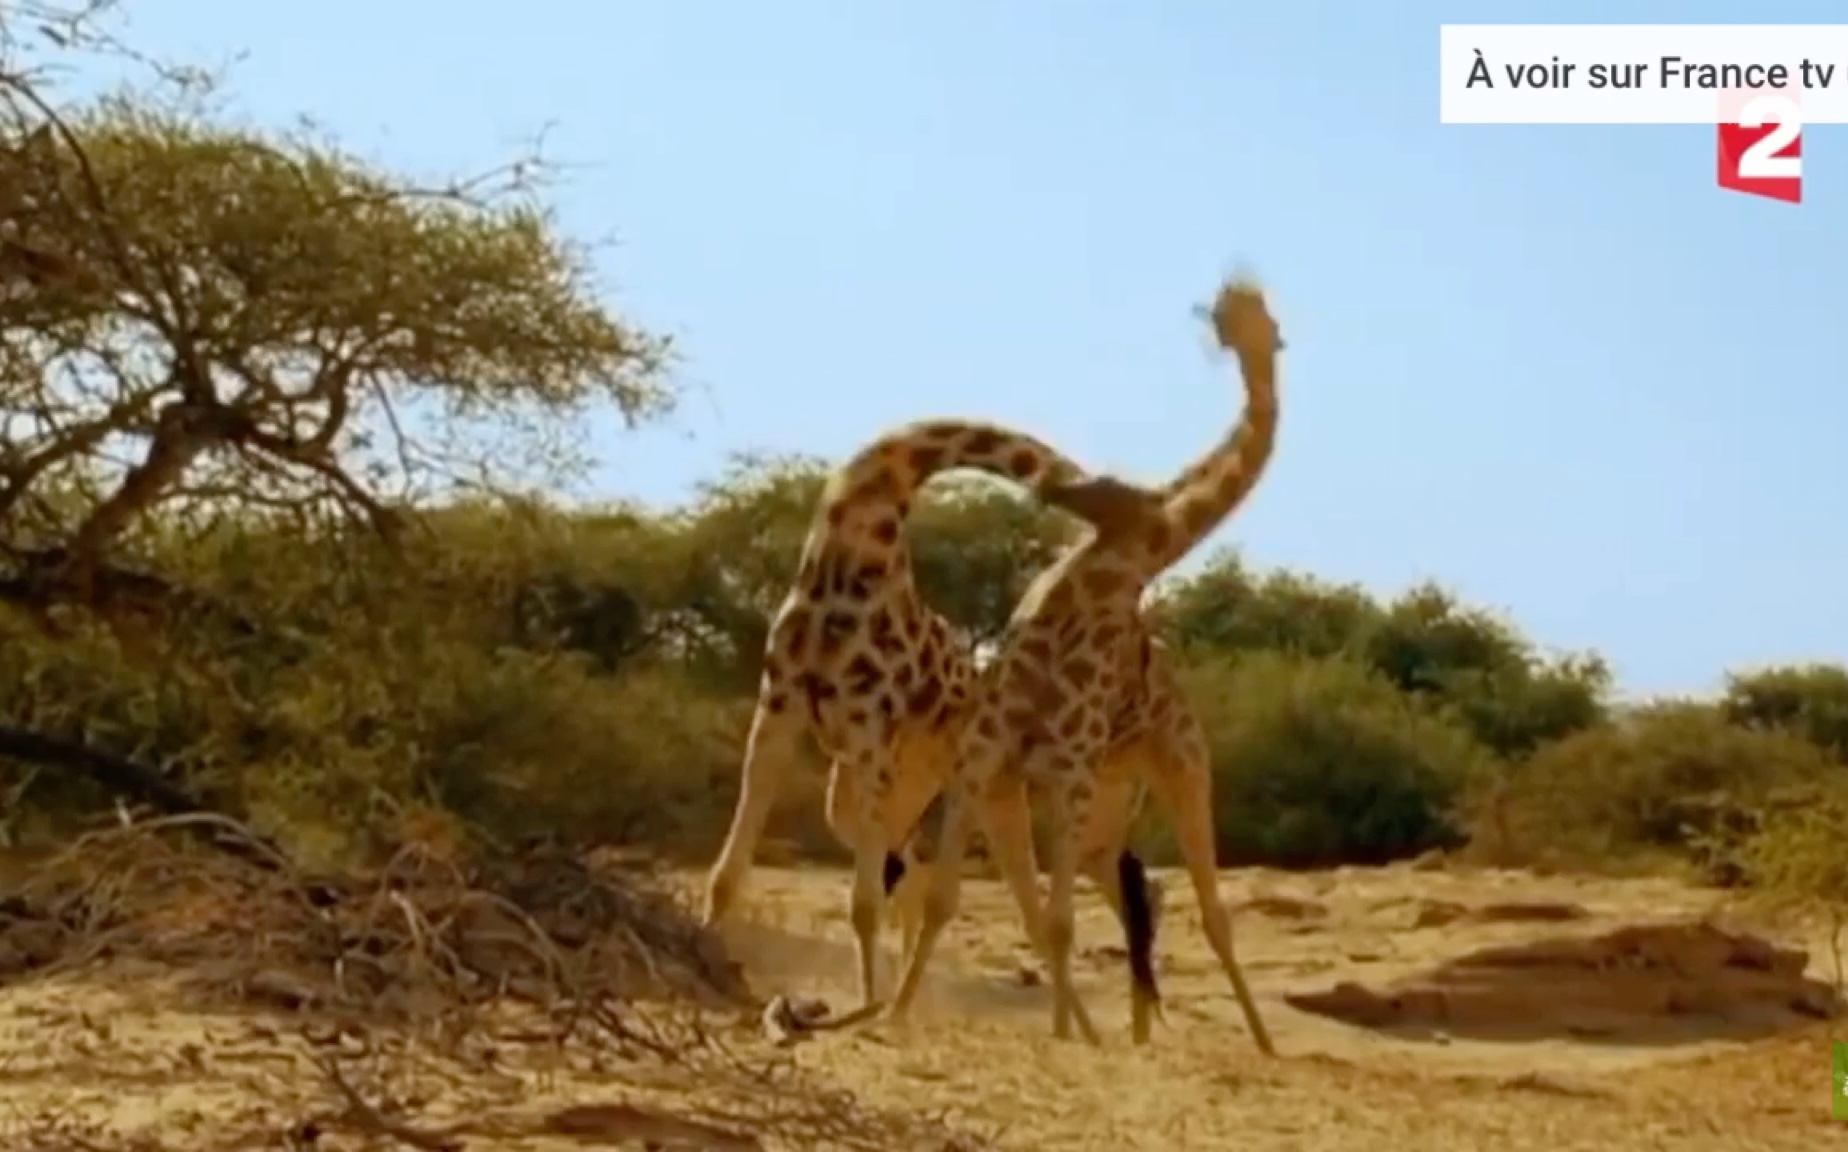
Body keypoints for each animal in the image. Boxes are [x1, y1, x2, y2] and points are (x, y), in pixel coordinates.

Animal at [698, 416, 1116, 1005]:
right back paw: (904, 997)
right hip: (872, 793)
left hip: (978, 790)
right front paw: (708, 953)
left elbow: (862, 903)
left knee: (1016, 902)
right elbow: (726, 875)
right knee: (911, 868)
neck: (848, 540)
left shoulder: (866, 721)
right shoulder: (779, 703)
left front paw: (863, 1005)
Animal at [883, 271, 1286, 1057]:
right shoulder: (989, 754)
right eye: (1241, 308)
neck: (1115, 563)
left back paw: (1260, 1042)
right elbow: (951, 897)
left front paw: (1067, 1036)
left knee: (1211, 909)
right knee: (1137, 889)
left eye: (1263, 316)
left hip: (1182, 768)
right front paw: (896, 1013)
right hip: (1109, 800)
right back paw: (1138, 1030)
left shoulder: (1065, 764)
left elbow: (1058, 921)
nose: (1231, 307)